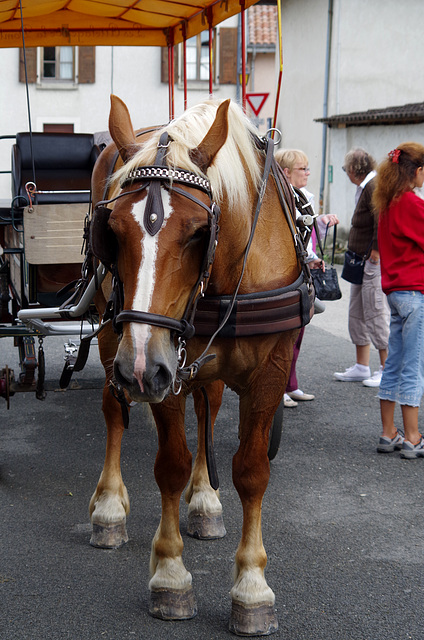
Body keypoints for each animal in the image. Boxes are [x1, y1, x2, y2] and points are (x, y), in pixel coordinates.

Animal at [88, 95, 308, 636]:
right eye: (112, 231)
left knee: (207, 402)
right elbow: (171, 464)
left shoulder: (270, 370)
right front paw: (170, 576)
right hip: (113, 335)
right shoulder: (158, 366)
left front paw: (252, 588)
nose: (140, 369)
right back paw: (109, 507)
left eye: (198, 233)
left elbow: (251, 471)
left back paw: (205, 499)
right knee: (113, 408)